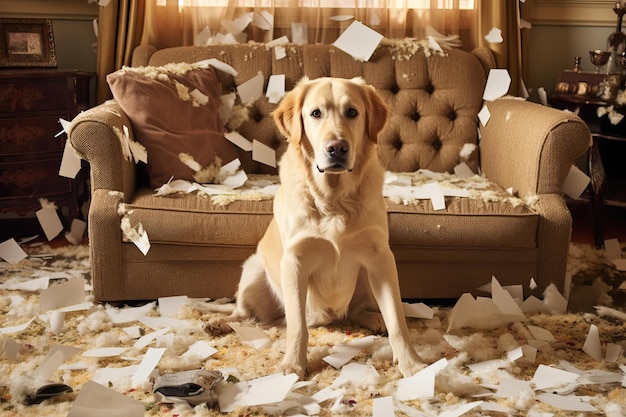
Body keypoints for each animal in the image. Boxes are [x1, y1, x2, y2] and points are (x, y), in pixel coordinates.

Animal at [204, 76, 420, 378]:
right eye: (316, 113)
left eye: (352, 112)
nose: (337, 148)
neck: (334, 198)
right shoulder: (295, 261)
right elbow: (297, 327)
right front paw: (293, 364)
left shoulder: (381, 256)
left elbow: (397, 320)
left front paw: (411, 362)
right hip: (254, 270)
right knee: (249, 315)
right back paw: (219, 322)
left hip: (364, 275)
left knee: (354, 310)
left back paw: (373, 318)